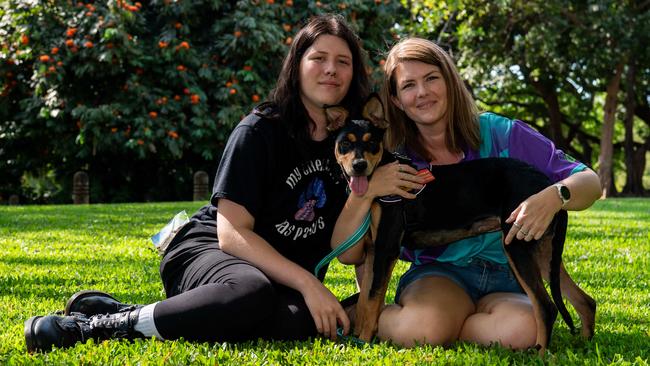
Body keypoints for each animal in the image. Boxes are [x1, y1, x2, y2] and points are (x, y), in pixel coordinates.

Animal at [326, 94, 596, 354]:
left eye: (372, 143)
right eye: (345, 143)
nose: (359, 166)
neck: (382, 172)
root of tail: (547, 184)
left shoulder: (386, 247)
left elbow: (373, 301)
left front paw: (363, 342)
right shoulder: (373, 250)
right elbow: (365, 302)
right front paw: (357, 338)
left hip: (519, 244)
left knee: (546, 308)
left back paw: (539, 354)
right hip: (543, 251)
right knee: (585, 301)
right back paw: (585, 345)